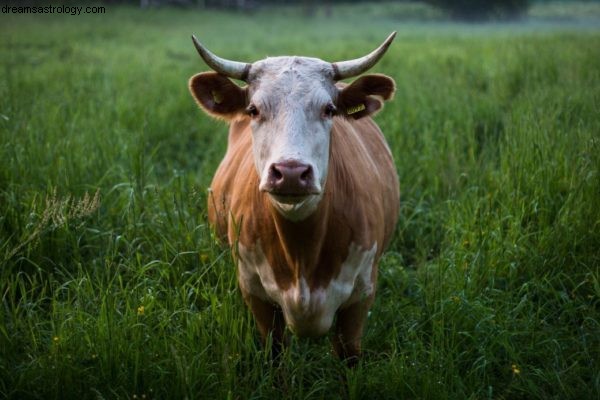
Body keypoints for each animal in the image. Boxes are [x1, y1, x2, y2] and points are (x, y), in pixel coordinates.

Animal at [190, 33, 400, 366]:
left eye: (329, 109)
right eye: (253, 109)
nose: (290, 172)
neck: (302, 253)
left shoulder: (361, 298)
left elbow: (348, 356)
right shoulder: (256, 295)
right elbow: (275, 354)